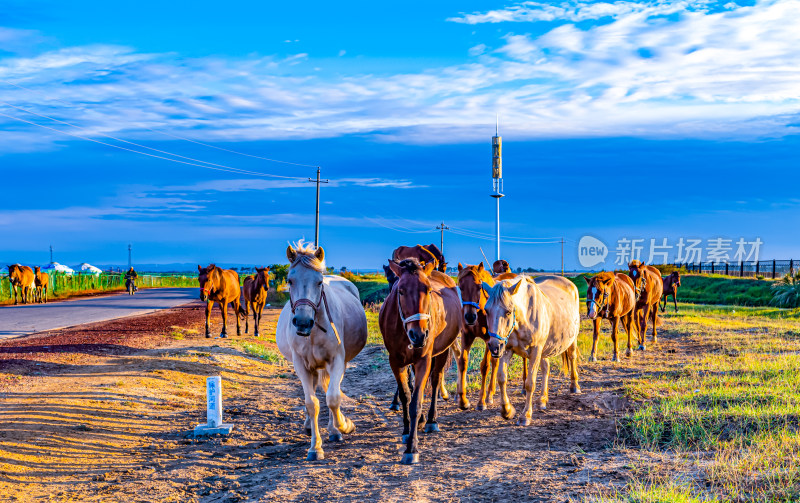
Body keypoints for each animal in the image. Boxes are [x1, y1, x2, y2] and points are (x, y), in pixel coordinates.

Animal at [276, 242, 368, 462]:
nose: (302, 322)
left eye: (319, 282)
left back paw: (334, 430)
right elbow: (312, 403)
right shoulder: (301, 365)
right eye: (289, 280)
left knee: (330, 391)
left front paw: (343, 425)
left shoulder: (336, 361)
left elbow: (333, 398)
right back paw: (310, 426)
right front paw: (315, 447)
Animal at [382, 260, 462, 464]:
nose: (419, 335)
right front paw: (406, 430)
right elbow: (406, 395)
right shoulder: (396, 361)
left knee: (435, 380)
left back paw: (432, 420)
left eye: (428, 290)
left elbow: (416, 402)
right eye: (401, 291)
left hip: (442, 351)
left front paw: (412, 448)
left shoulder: (423, 360)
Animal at [454, 262, 496, 412]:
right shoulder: (466, 335)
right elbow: (462, 362)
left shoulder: (490, 340)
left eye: (479, 286)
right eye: (460, 287)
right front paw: (463, 400)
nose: (470, 317)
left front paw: (481, 401)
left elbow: (485, 366)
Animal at [482, 276, 580, 426]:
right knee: (546, 368)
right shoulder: (506, 349)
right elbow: (502, 378)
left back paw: (574, 386)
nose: (494, 346)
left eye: (508, 311)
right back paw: (542, 400)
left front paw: (525, 415)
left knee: (572, 357)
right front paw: (507, 410)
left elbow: (530, 383)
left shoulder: (535, 351)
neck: (525, 317)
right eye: (487, 311)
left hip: (571, 340)